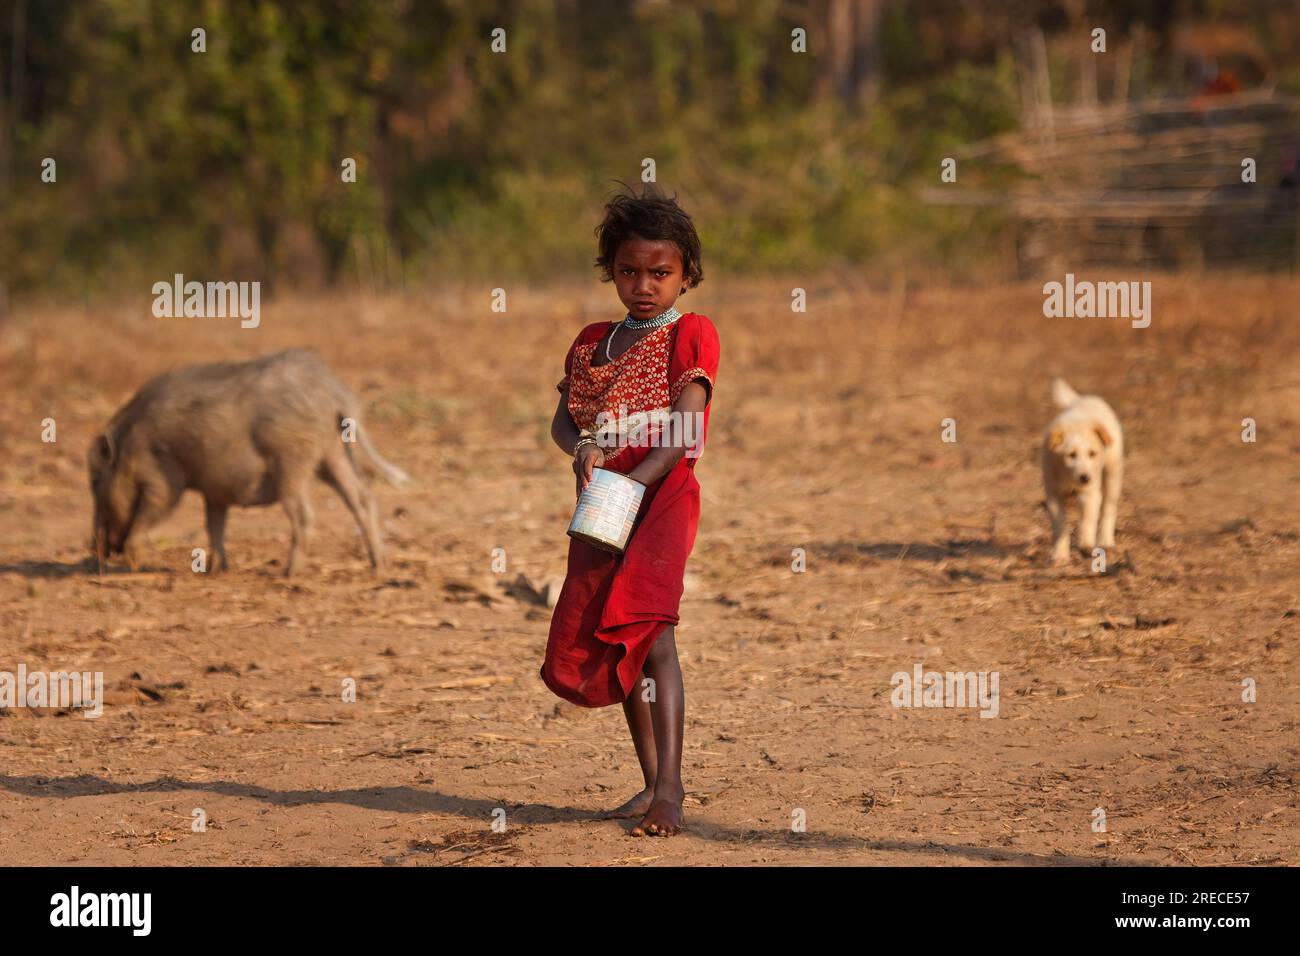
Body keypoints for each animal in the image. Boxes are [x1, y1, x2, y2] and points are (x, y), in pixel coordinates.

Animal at [88, 348, 405, 580]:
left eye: (95, 482)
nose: (94, 548)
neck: (129, 445)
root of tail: (332, 392)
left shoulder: (164, 475)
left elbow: (154, 507)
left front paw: (136, 565)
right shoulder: (214, 490)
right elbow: (213, 525)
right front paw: (216, 571)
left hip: (292, 462)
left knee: (305, 514)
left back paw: (288, 574)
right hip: (332, 454)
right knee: (361, 499)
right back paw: (379, 567)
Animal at [1040, 379, 1123, 564]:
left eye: (1092, 453)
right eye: (1071, 455)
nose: (1085, 477)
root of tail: (1084, 399)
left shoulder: (1090, 493)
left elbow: (1087, 520)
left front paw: (1086, 544)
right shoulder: (1053, 493)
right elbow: (1060, 525)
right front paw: (1060, 554)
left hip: (1112, 473)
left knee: (1109, 507)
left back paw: (1105, 540)